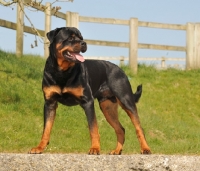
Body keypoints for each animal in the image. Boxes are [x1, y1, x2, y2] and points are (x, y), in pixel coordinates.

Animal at [28, 26, 151, 155]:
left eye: (81, 38)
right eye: (70, 38)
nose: (84, 43)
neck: (62, 71)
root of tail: (120, 69)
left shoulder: (88, 102)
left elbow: (93, 128)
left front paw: (95, 148)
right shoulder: (50, 103)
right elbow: (46, 129)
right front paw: (39, 147)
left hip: (126, 100)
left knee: (139, 127)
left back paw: (145, 149)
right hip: (107, 106)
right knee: (120, 129)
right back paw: (117, 150)